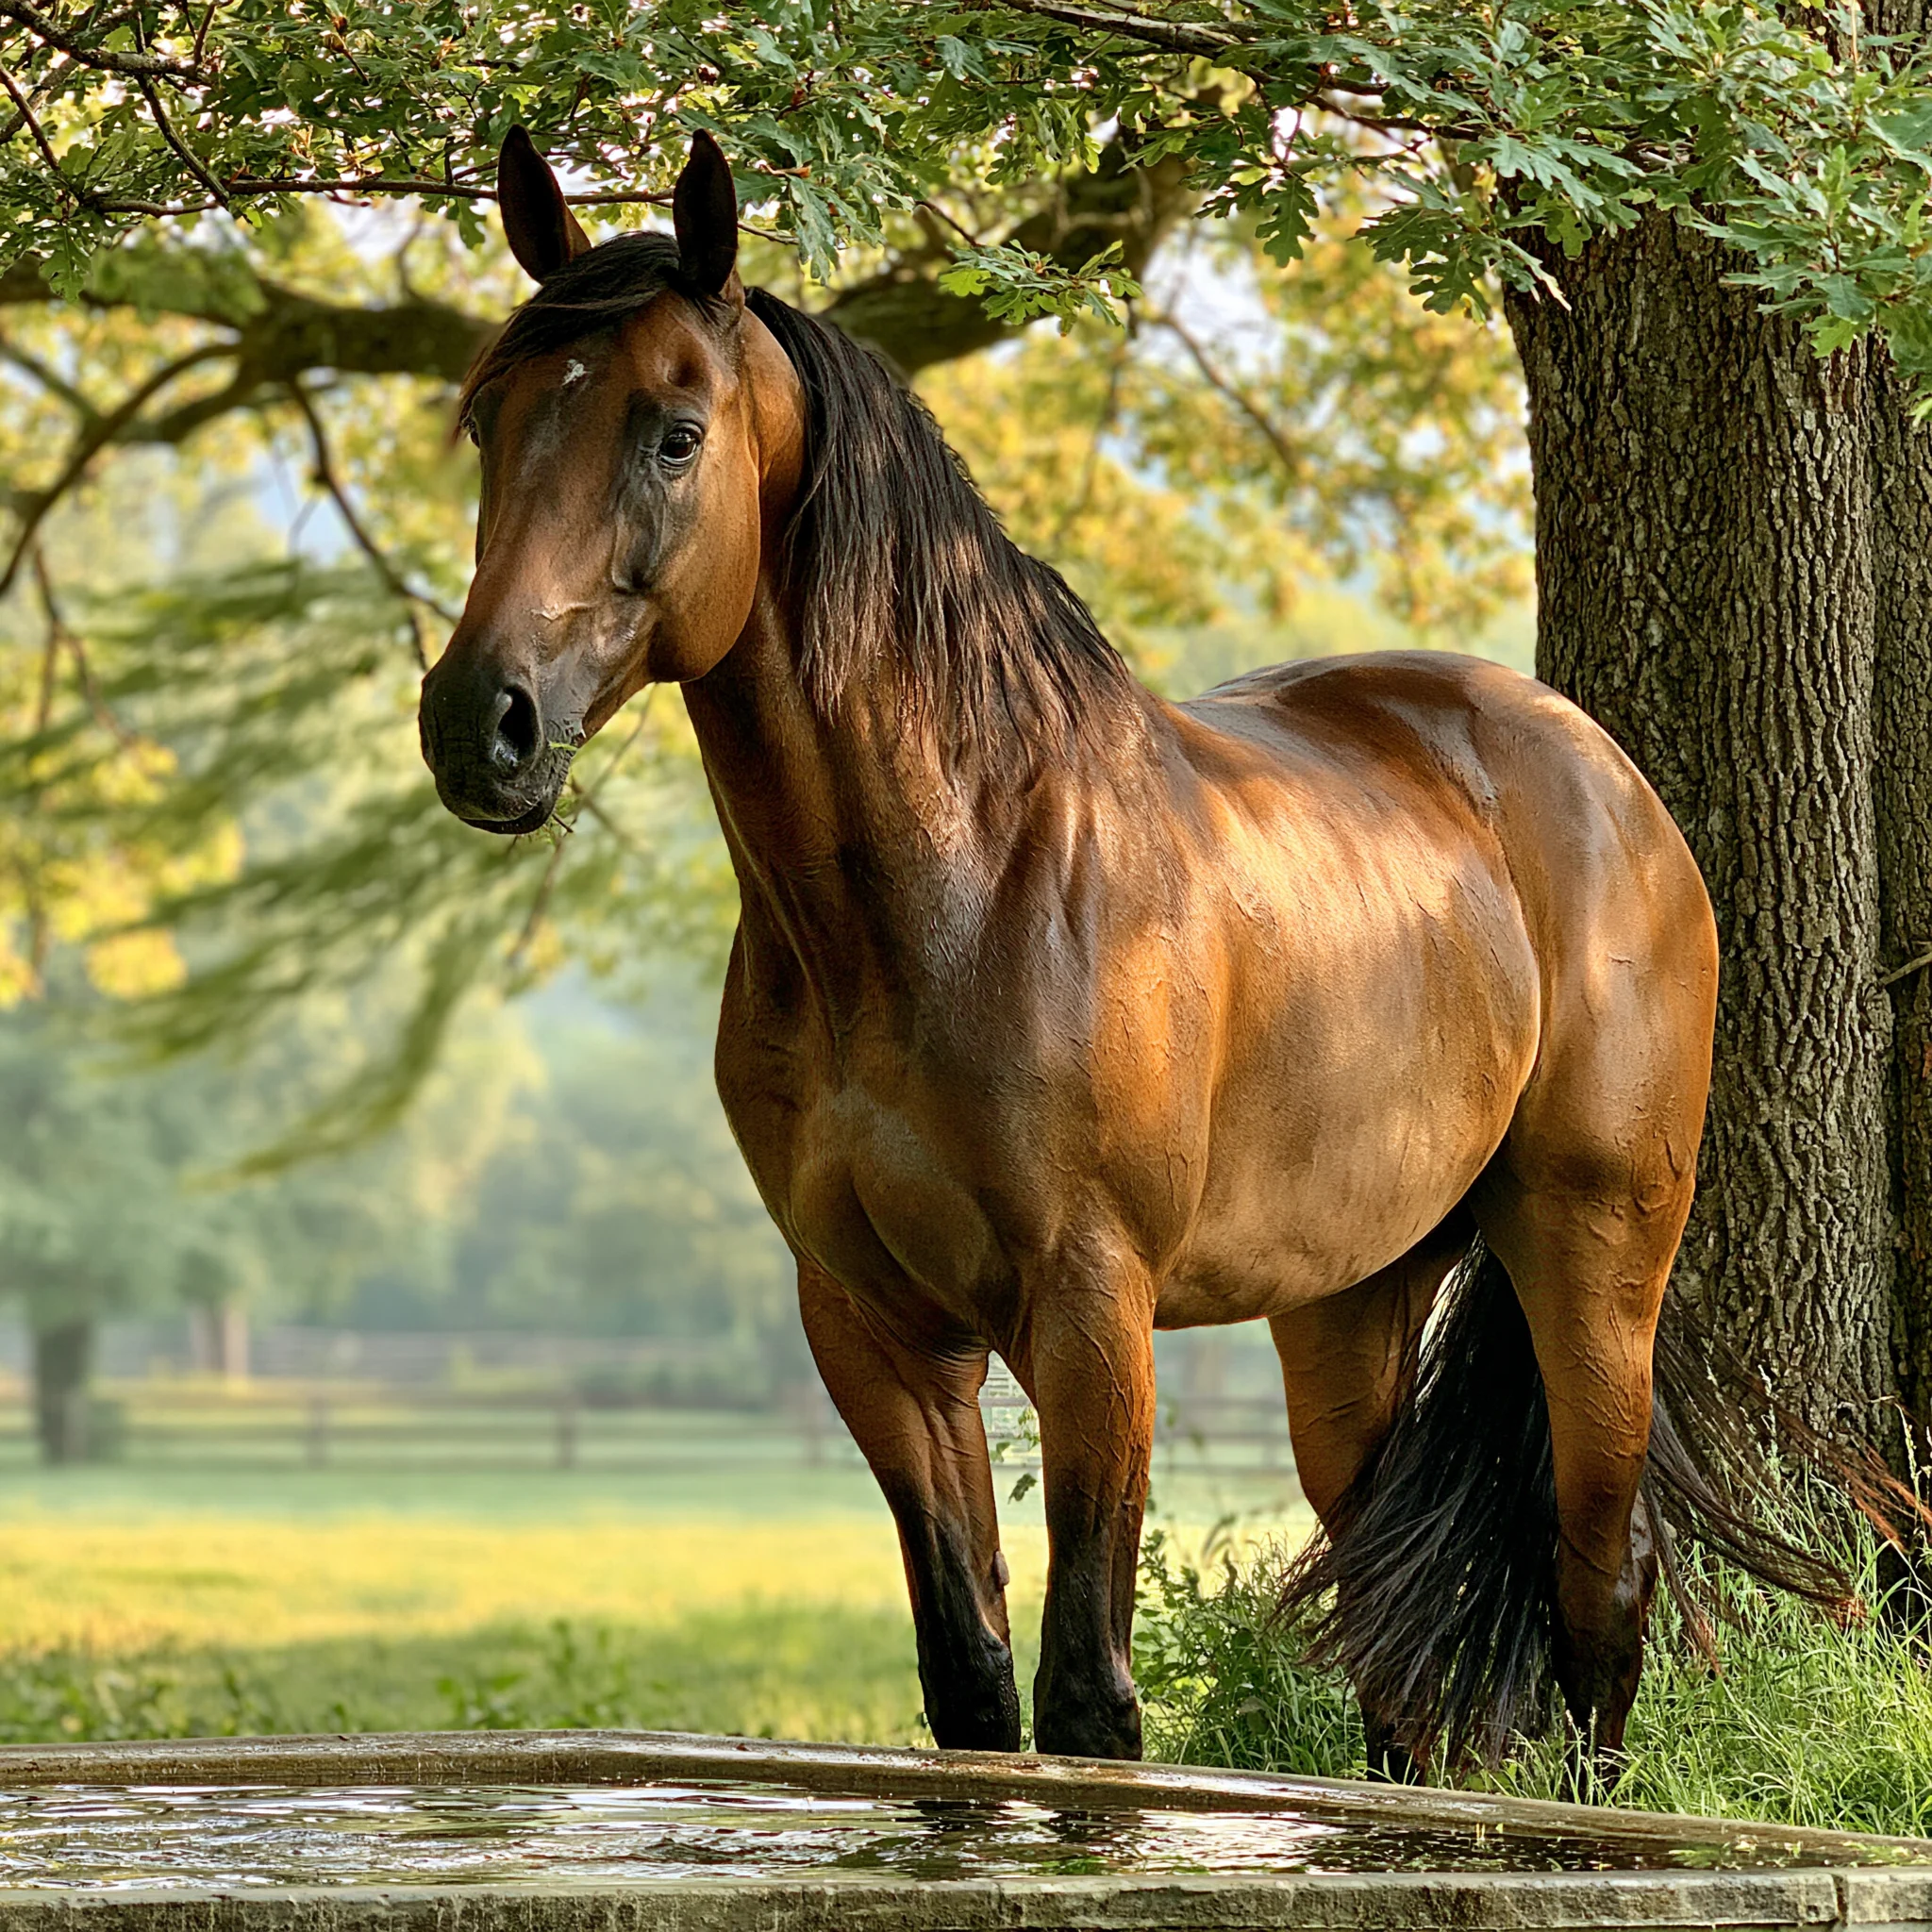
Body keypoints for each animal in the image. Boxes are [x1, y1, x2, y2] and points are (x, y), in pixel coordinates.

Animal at [419, 127, 1832, 1787]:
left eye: (675, 433)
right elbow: (971, 1687)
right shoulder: (875, 1329)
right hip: (1348, 1297)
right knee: (1388, 1620)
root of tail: (1602, 779)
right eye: (488, 419)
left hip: (1595, 1252)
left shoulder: (1093, 1311)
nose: (482, 725)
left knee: (1601, 1584)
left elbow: (1088, 1700)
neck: (949, 889)